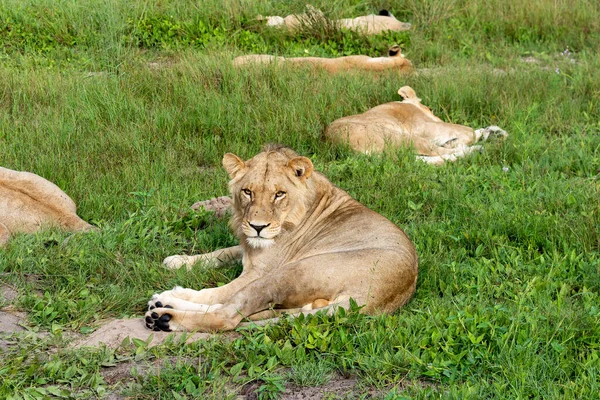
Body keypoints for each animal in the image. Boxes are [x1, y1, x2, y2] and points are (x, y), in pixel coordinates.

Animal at [145, 145, 418, 332]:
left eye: (279, 194)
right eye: (248, 192)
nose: (258, 226)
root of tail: (377, 298)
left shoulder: (260, 270)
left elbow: (217, 292)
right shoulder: (250, 248)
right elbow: (223, 252)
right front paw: (177, 261)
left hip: (288, 273)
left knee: (227, 314)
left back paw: (164, 314)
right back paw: (162, 306)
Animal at [326, 85, 508, 165]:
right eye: (431, 108)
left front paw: (492, 131)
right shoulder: (425, 125)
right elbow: (467, 130)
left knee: (425, 160)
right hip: (405, 138)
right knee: (443, 152)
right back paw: (477, 149)